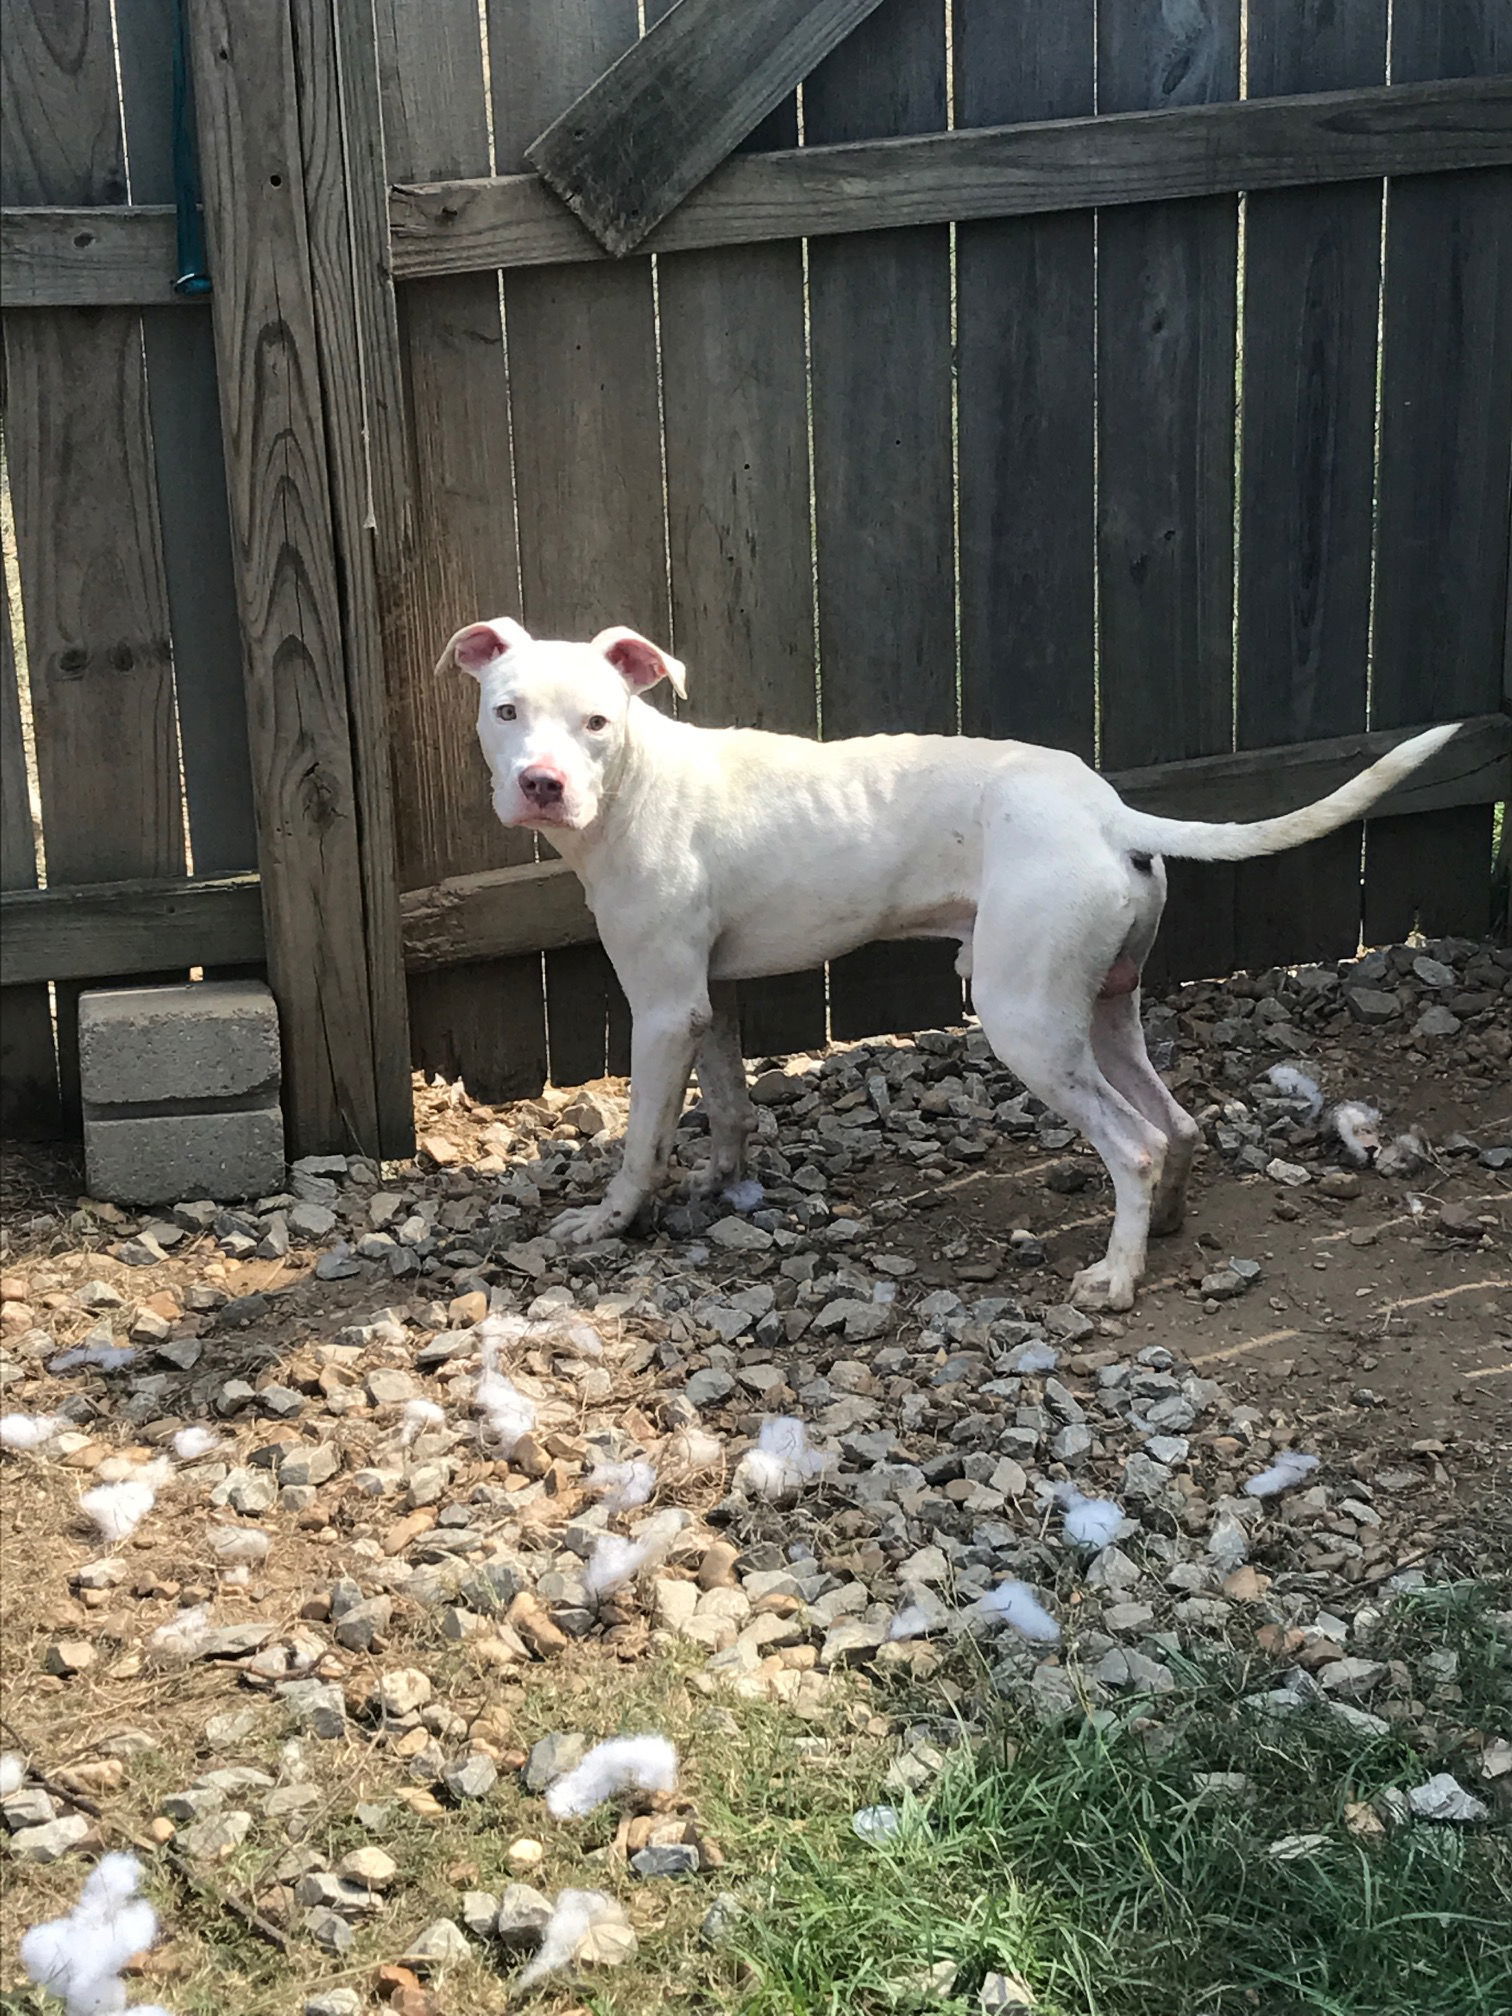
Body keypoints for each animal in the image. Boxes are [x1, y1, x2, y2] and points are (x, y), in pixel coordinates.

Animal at [443, 612, 1459, 1306]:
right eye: (506, 711)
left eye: (596, 722)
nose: (543, 784)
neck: (638, 783)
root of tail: (1105, 811)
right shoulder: (711, 997)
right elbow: (728, 1104)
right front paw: (726, 1185)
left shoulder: (660, 1012)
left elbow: (640, 1141)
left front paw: (610, 1222)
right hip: (1099, 1008)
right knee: (1173, 1124)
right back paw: (1157, 1233)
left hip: (1025, 1022)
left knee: (1131, 1143)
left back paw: (1114, 1278)